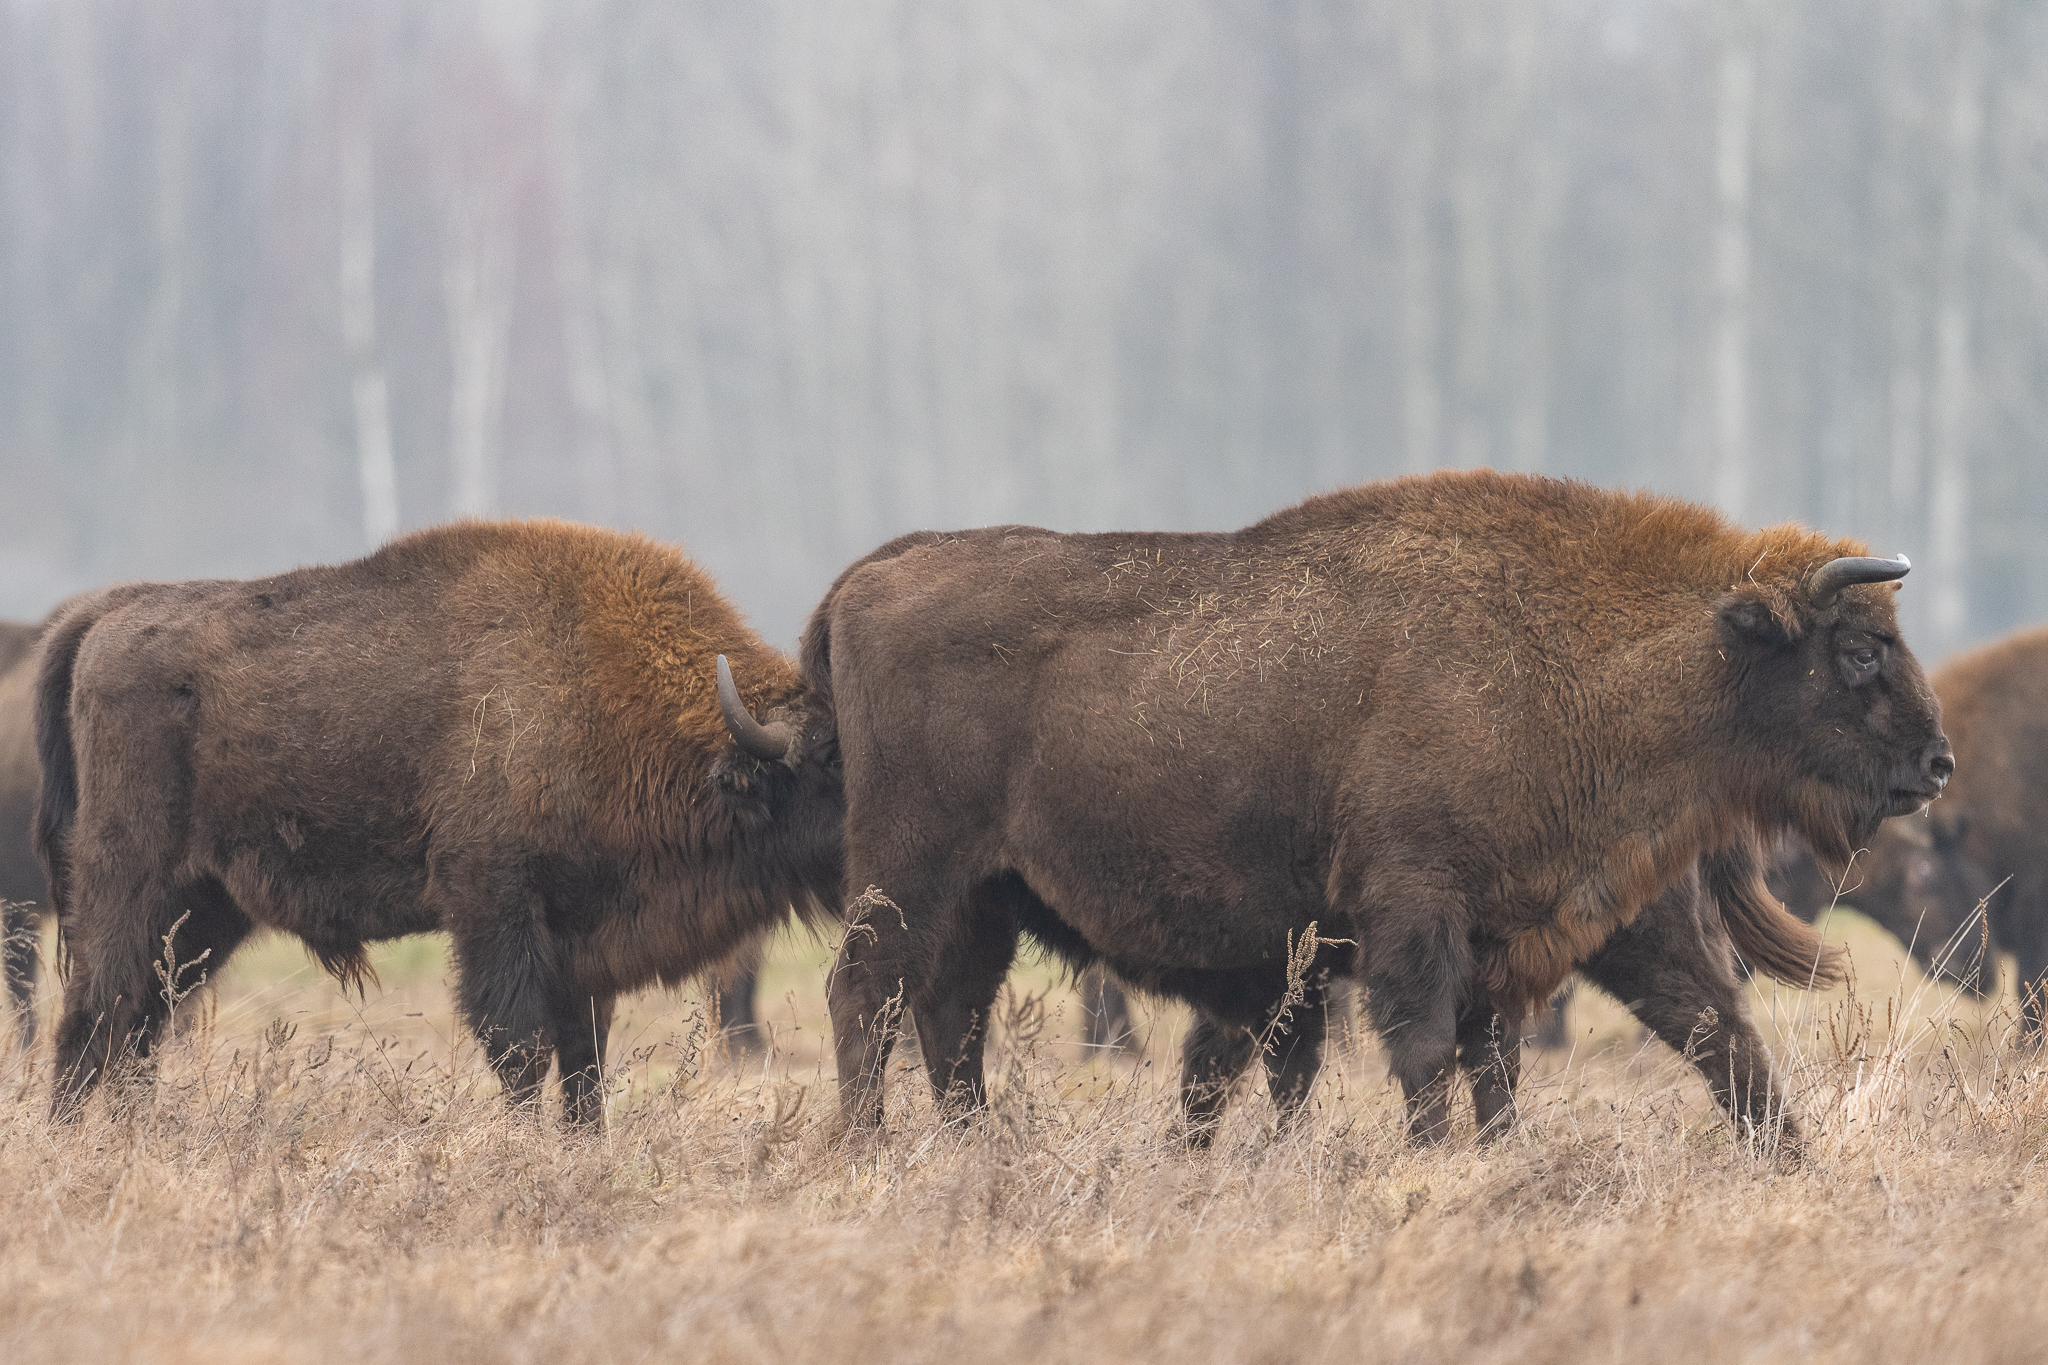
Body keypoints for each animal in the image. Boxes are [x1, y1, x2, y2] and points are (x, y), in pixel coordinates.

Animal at [37, 520, 841, 1121]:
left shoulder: (583, 945)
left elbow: (585, 1059)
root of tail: (104, 614)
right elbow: (519, 1046)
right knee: (95, 1013)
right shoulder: (494, 907)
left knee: (141, 1023)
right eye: (828, 765)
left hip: (207, 909)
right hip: (130, 884)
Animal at [724, 471, 1949, 1145]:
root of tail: (869, 577)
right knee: (866, 996)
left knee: (947, 1021)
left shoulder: (1584, 918)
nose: (1935, 764)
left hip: (986, 897)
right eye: (1855, 650)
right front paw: (1442, 1164)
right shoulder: (1412, 914)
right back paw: (870, 1152)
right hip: (909, 871)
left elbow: (1700, 1035)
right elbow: (1428, 1055)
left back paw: (981, 1154)